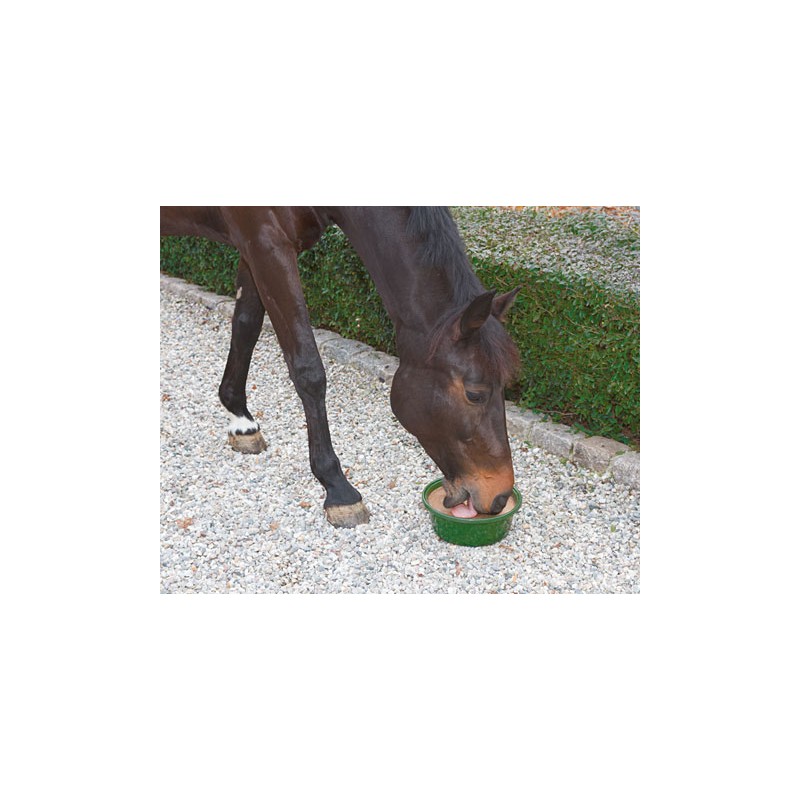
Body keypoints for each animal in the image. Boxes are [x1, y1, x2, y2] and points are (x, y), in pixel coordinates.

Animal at [160, 207, 520, 528]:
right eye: (474, 394)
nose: (500, 495)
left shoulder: (252, 249)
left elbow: (246, 325)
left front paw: (240, 419)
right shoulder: (267, 246)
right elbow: (308, 369)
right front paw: (338, 488)